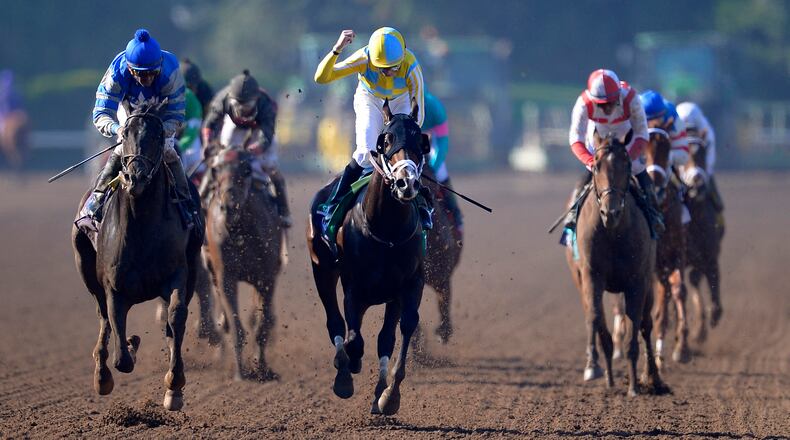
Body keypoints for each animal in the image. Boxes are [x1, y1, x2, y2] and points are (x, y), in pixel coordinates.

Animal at [71, 103, 204, 411]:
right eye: (125, 134)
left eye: (157, 135)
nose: (136, 178)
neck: (141, 224)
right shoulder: (114, 289)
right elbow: (121, 355)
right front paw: (127, 348)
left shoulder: (177, 274)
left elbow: (176, 316)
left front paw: (174, 386)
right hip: (86, 269)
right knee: (103, 319)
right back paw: (102, 374)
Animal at [202, 145, 283, 381]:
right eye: (215, 169)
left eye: (247, 169)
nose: (230, 207)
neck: (240, 230)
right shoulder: (225, 275)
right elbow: (235, 325)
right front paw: (240, 372)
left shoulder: (266, 277)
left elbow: (261, 325)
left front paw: (262, 368)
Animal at [307, 98, 430, 415]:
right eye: (386, 140)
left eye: (420, 141)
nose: (406, 183)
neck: (387, 231)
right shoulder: (354, 287)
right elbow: (353, 340)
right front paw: (347, 373)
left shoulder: (409, 285)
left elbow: (400, 330)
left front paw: (388, 395)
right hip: (322, 270)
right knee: (336, 323)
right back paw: (343, 370)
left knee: (379, 338)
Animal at [565, 131, 666, 396]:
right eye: (596, 165)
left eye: (627, 164)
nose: (611, 212)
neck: (612, 233)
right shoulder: (591, 276)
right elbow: (595, 317)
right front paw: (594, 367)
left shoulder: (637, 281)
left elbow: (635, 326)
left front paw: (634, 386)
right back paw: (609, 377)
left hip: (648, 282)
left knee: (646, 324)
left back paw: (652, 377)